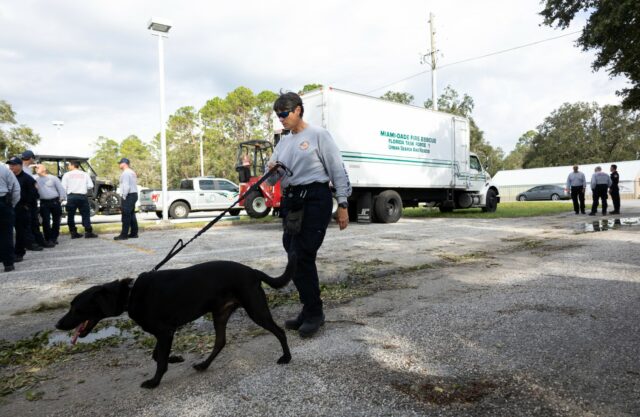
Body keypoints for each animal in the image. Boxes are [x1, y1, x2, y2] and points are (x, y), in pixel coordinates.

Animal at [55, 255, 296, 388]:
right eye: (70, 305)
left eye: (77, 308)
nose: (58, 325)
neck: (130, 294)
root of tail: (253, 271)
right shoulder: (165, 333)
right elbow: (157, 355)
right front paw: (176, 358)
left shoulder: (165, 332)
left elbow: (159, 360)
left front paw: (154, 382)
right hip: (220, 314)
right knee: (220, 342)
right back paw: (203, 365)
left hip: (256, 310)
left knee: (279, 331)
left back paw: (286, 357)